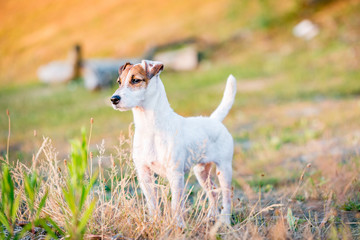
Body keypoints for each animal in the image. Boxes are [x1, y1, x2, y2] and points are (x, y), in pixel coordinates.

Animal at [111, 59, 238, 225]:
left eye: (136, 80)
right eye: (119, 82)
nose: (114, 99)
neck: (150, 127)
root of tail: (214, 120)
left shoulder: (175, 174)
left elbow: (176, 204)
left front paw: (178, 225)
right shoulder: (144, 173)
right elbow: (152, 203)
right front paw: (154, 222)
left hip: (224, 169)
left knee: (227, 196)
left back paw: (225, 221)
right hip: (201, 172)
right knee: (213, 192)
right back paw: (211, 216)